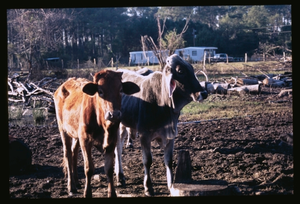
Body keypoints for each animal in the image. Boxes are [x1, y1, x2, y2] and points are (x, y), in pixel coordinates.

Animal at [53, 70, 139, 198]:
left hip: (76, 135)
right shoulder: (85, 141)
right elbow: (89, 168)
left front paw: (112, 194)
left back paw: (76, 182)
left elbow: (109, 169)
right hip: (63, 130)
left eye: (120, 89)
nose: (114, 114)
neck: (102, 124)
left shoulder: (111, 141)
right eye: (100, 91)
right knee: (68, 154)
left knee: (74, 152)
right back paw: (71, 187)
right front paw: (87, 193)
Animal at [113, 54, 207, 196]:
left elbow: (168, 160)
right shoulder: (144, 135)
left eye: (191, 68)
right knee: (117, 149)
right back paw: (120, 177)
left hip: (124, 125)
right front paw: (148, 187)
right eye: (180, 71)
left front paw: (171, 184)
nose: (203, 93)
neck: (163, 101)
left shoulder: (170, 135)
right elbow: (147, 161)